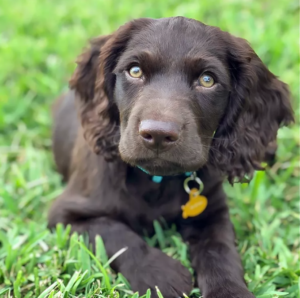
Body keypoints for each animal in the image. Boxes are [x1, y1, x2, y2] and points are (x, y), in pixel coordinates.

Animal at [48, 16, 294, 298]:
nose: (157, 134)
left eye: (207, 80)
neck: (157, 180)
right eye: (135, 71)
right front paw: (160, 275)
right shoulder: (65, 215)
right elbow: (114, 233)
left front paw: (229, 290)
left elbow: (220, 251)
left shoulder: (213, 212)